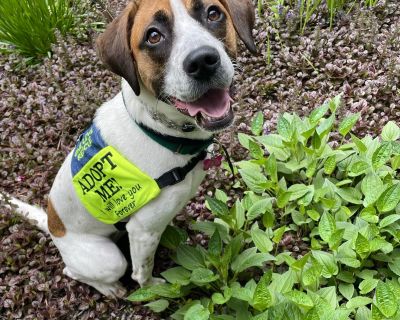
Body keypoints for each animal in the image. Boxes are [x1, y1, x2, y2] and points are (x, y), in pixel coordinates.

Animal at [4, 0, 256, 298]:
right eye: (153, 35)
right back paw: (111, 288)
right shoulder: (142, 231)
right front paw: (154, 290)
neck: (159, 131)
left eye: (213, 13)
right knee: (73, 271)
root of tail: (53, 226)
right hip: (109, 260)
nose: (202, 61)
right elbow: (143, 273)